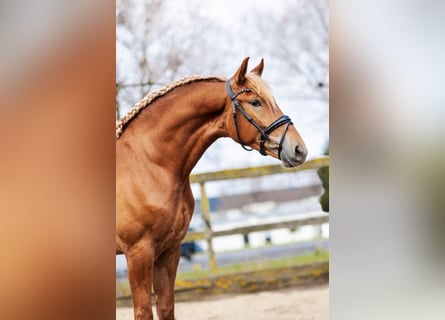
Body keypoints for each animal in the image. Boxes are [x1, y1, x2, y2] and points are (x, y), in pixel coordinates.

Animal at [116, 58, 306, 320]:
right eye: (255, 102)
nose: (299, 149)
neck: (147, 163)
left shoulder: (169, 250)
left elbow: (166, 308)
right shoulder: (138, 252)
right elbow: (143, 312)